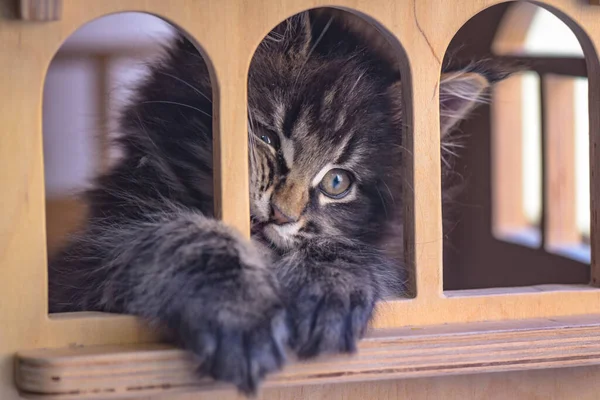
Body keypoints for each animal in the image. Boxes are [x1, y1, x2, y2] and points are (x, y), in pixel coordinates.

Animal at [47, 8, 496, 394]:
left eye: (337, 182)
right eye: (266, 138)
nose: (280, 215)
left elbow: (339, 248)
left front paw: (329, 287)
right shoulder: (86, 264)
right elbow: (184, 235)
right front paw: (240, 312)